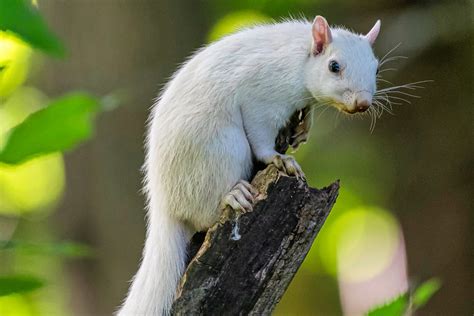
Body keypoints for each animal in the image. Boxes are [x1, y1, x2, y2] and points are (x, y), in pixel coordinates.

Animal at [118, 15, 382, 316]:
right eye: (334, 66)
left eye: (376, 67)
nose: (362, 103)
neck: (299, 57)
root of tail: (163, 205)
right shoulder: (261, 99)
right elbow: (260, 135)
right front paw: (280, 159)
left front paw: (305, 126)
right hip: (222, 151)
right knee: (204, 214)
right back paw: (232, 196)